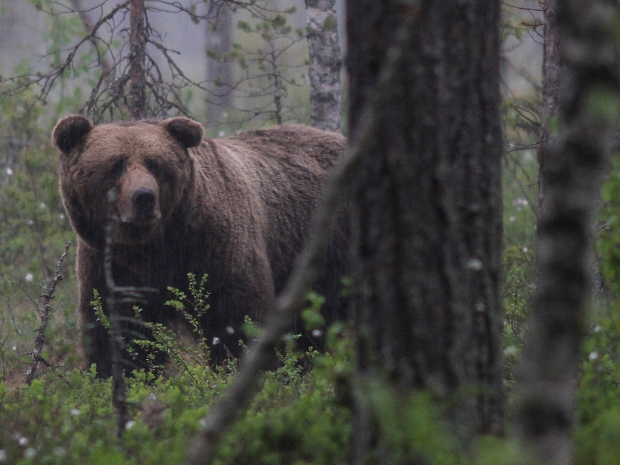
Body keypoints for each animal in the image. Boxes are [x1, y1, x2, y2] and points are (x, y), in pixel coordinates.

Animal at [53, 116, 348, 376]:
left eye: (156, 164)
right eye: (116, 164)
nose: (144, 198)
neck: (156, 249)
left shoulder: (217, 249)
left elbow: (236, 318)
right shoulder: (110, 265)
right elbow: (120, 329)